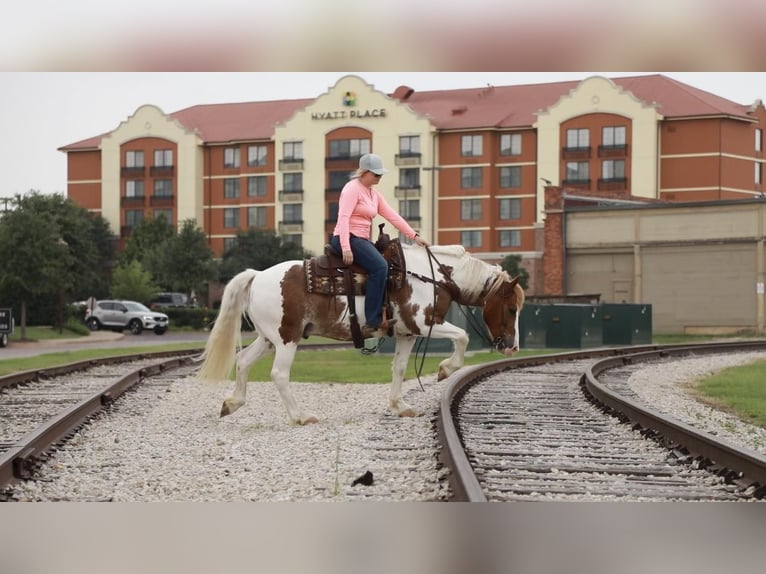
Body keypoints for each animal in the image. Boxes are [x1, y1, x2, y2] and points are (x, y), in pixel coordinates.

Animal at [198, 241, 524, 426]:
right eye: (511, 309)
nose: (512, 347)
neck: (433, 276)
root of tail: (257, 276)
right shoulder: (425, 323)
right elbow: (463, 337)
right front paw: (446, 369)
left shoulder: (406, 333)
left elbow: (399, 368)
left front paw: (400, 406)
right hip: (287, 339)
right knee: (279, 374)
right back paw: (300, 416)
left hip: (269, 339)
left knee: (243, 361)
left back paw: (232, 403)